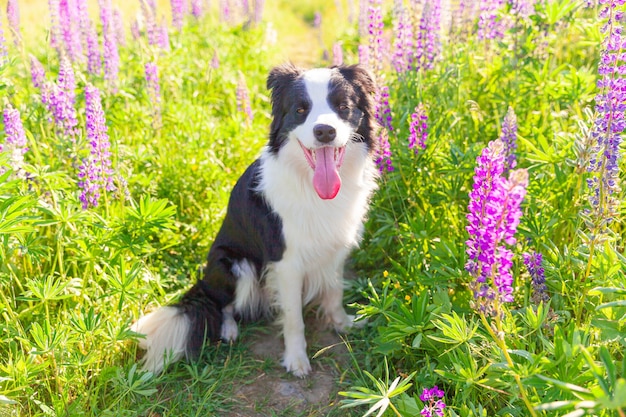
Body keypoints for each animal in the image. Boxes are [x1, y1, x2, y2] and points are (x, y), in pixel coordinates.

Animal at [131, 62, 376, 376]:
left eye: (343, 107)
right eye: (300, 110)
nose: (324, 131)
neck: (311, 186)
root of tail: (204, 282)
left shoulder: (335, 246)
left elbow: (334, 292)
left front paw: (343, 324)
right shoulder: (286, 262)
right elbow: (294, 319)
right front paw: (297, 359)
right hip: (235, 265)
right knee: (223, 305)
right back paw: (229, 329)